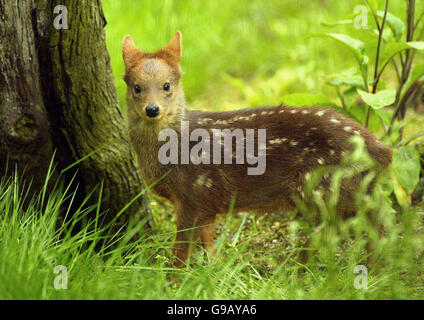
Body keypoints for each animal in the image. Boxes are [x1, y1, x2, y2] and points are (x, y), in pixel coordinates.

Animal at [123, 31, 394, 268]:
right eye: (136, 87)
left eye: (166, 85)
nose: (152, 109)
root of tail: (381, 150)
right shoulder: (207, 203)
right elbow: (208, 243)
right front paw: (213, 272)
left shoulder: (194, 194)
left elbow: (181, 253)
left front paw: (173, 282)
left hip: (325, 186)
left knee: (371, 217)